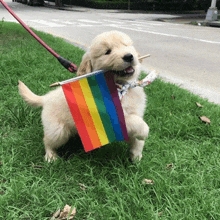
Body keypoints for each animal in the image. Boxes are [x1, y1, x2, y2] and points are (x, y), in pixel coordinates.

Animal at [18, 30, 150, 162]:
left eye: (126, 45)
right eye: (108, 52)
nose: (129, 56)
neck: (122, 87)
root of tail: (46, 97)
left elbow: (136, 135)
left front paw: (136, 154)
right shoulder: (108, 118)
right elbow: (134, 121)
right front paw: (144, 132)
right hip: (58, 131)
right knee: (47, 141)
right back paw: (51, 156)